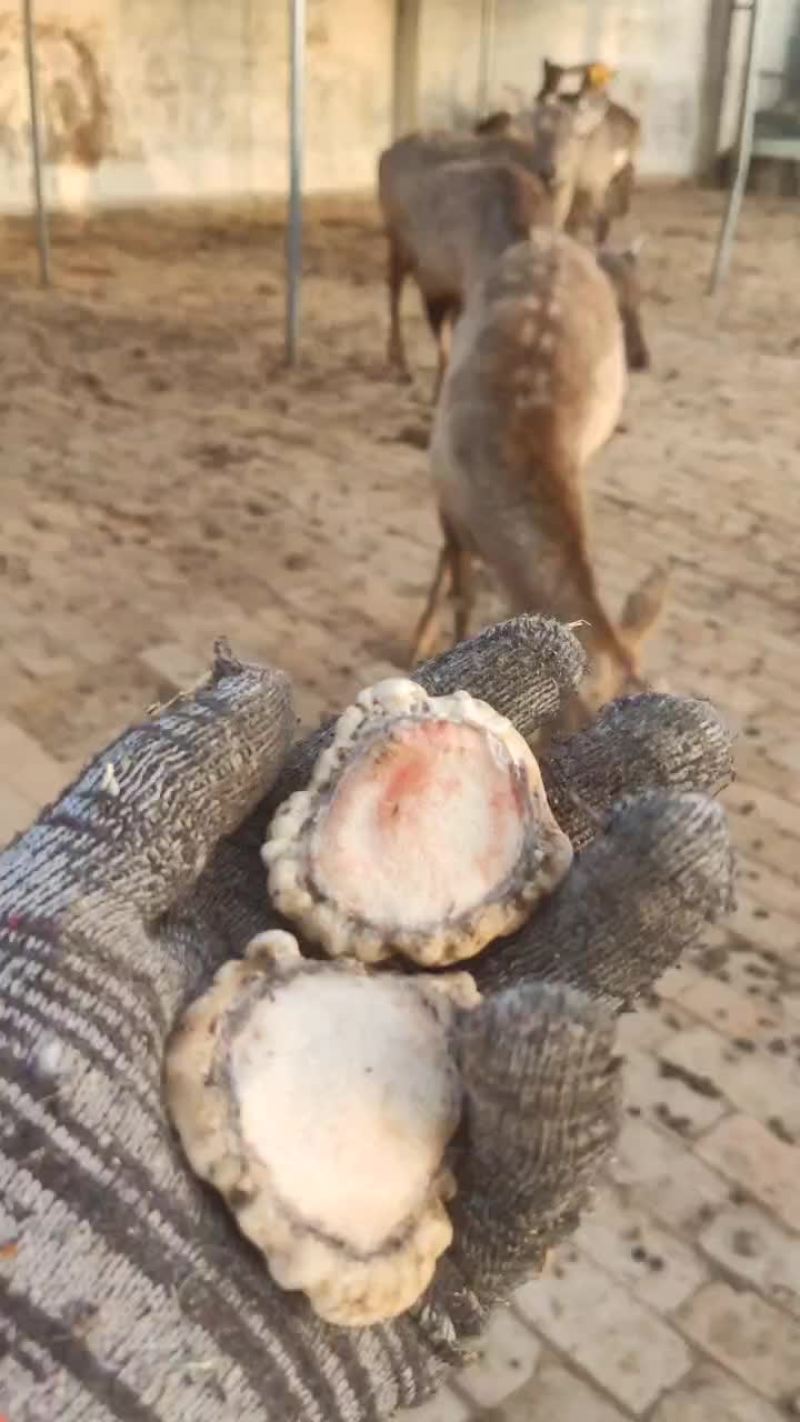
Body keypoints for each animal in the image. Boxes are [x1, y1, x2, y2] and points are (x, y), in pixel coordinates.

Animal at [410, 226, 666, 726]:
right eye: (581, 728)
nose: (643, 356)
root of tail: (554, 238)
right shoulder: (443, 492)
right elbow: (456, 588)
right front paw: (424, 643)